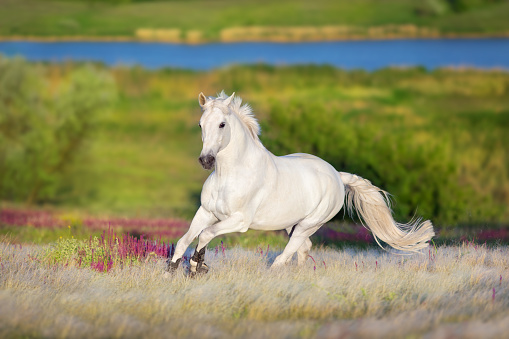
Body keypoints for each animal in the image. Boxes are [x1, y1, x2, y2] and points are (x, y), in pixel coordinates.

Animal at [166, 91, 432, 274]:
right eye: (201, 125)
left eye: (222, 124)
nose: (206, 160)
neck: (230, 175)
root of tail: (337, 175)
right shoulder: (206, 211)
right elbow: (184, 240)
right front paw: (172, 271)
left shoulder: (238, 221)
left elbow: (205, 235)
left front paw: (197, 266)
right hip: (291, 224)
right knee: (303, 250)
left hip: (308, 224)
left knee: (287, 254)